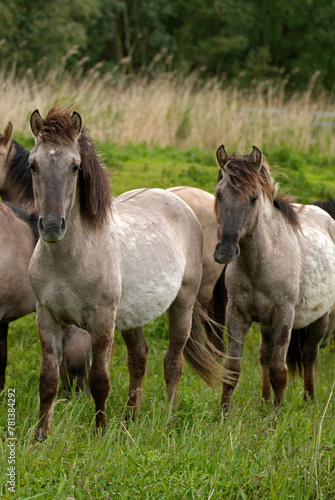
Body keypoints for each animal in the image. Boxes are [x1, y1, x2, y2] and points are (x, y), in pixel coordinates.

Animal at [28, 106, 223, 438]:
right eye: (33, 165)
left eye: (75, 167)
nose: (52, 226)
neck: (67, 261)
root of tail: (175, 199)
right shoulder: (47, 318)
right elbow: (48, 381)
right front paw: (41, 437)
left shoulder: (102, 321)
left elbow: (99, 380)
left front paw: (100, 433)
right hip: (133, 314)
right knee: (139, 358)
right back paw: (131, 417)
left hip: (183, 304)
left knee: (173, 361)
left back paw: (168, 420)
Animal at [214, 145, 335, 410]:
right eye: (218, 195)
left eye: (253, 198)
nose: (225, 250)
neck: (261, 262)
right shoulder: (237, 314)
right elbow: (232, 369)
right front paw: (223, 415)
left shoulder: (284, 315)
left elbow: (280, 371)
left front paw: (276, 416)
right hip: (266, 324)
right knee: (265, 356)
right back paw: (265, 401)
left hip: (320, 318)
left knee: (309, 354)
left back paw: (309, 400)